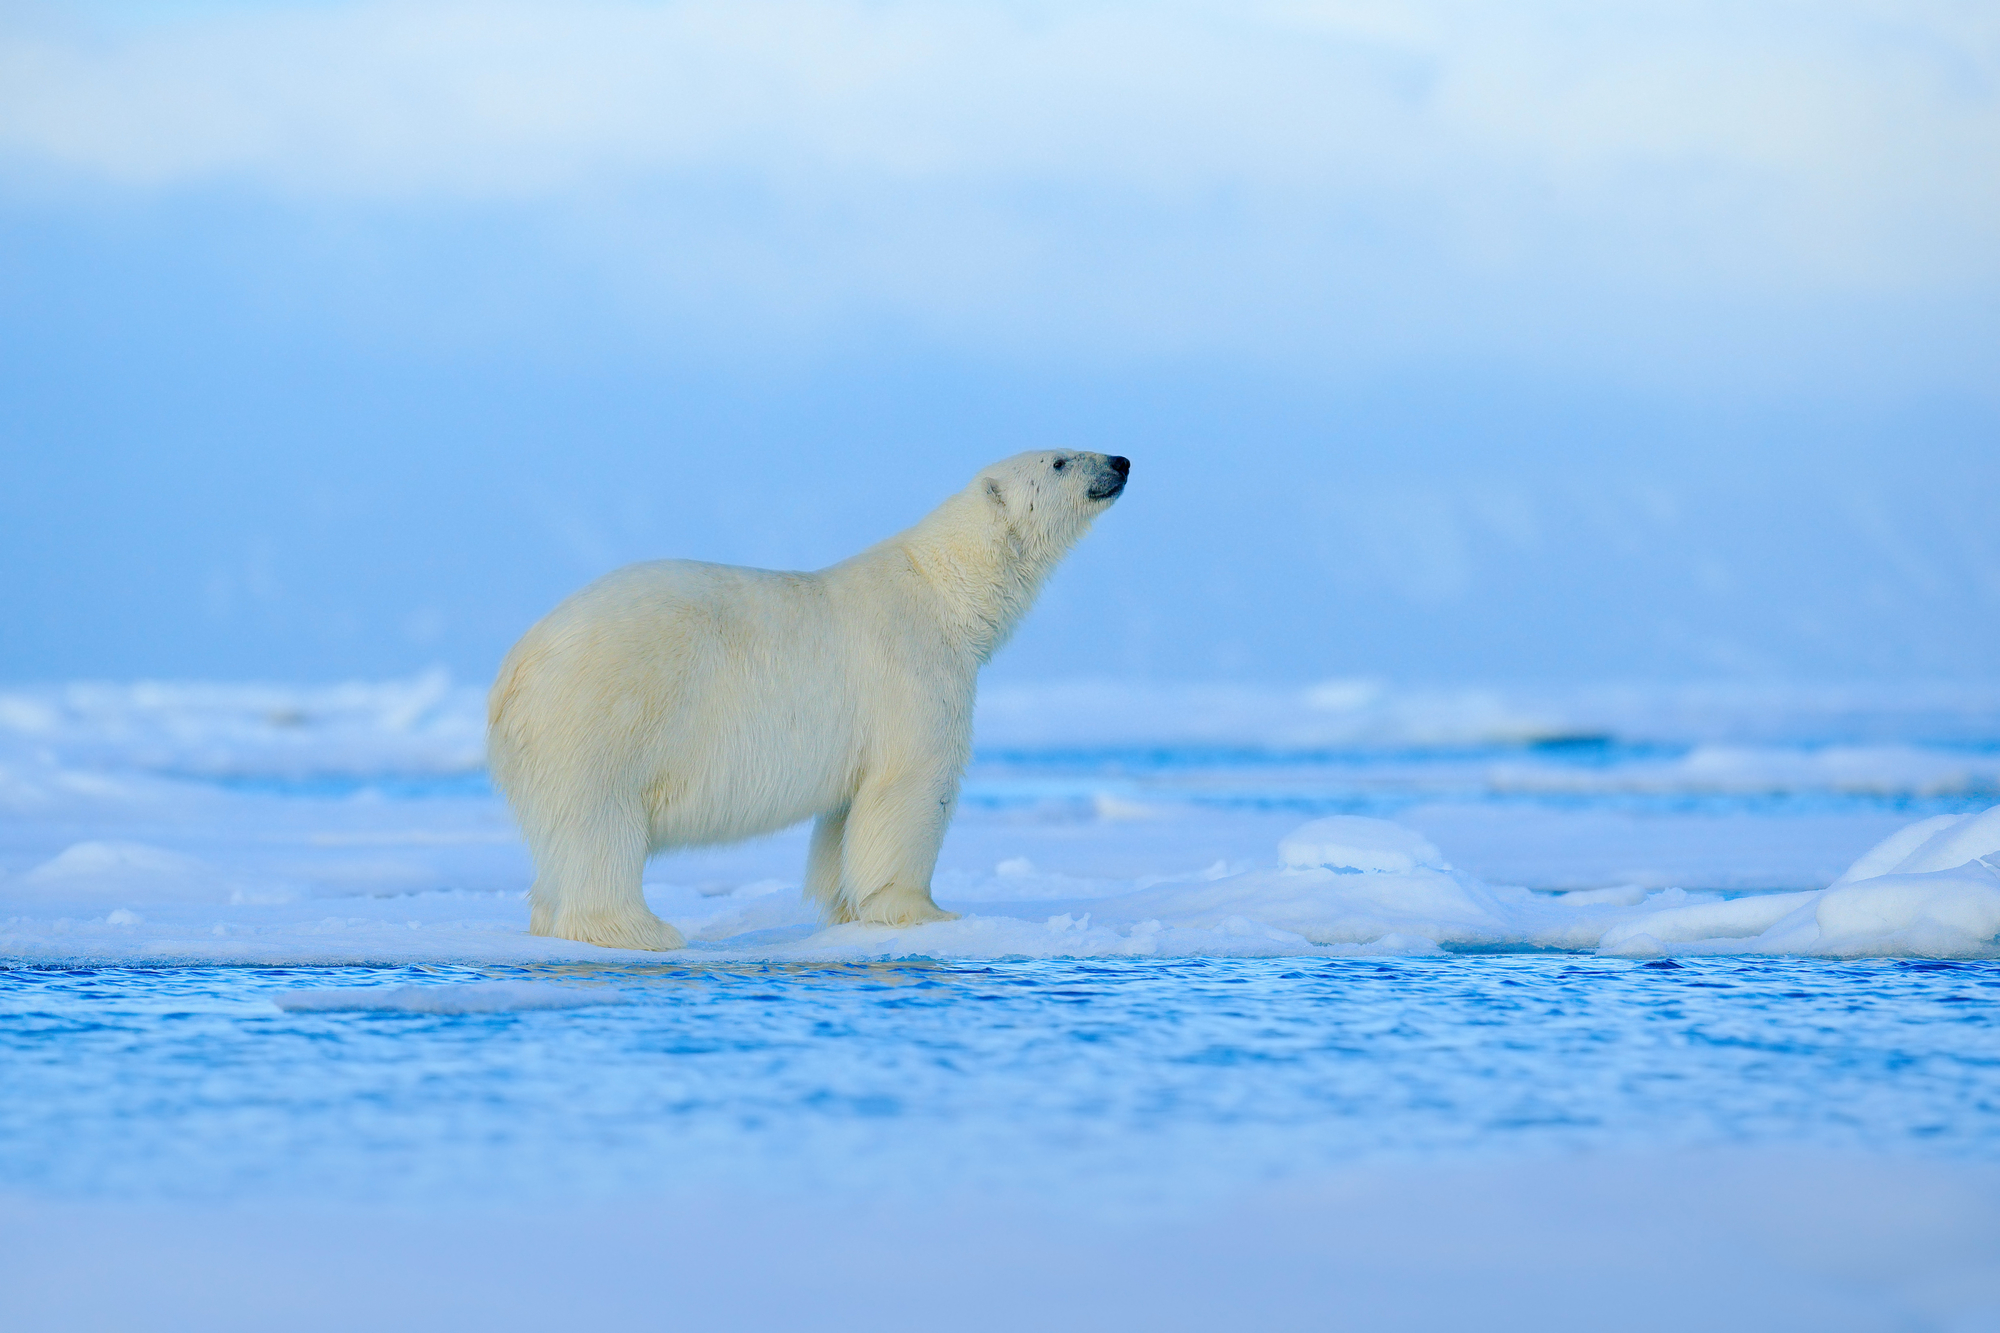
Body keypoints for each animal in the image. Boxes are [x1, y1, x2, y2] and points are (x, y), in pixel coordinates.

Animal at [488, 448, 1128, 944]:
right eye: (1060, 460)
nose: (1121, 461)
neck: (947, 590)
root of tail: (514, 668)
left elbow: (845, 817)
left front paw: (846, 908)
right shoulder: (913, 672)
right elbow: (913, 785)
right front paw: (927, 912)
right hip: (603, 711)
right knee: (600, 824)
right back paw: (639, 929)